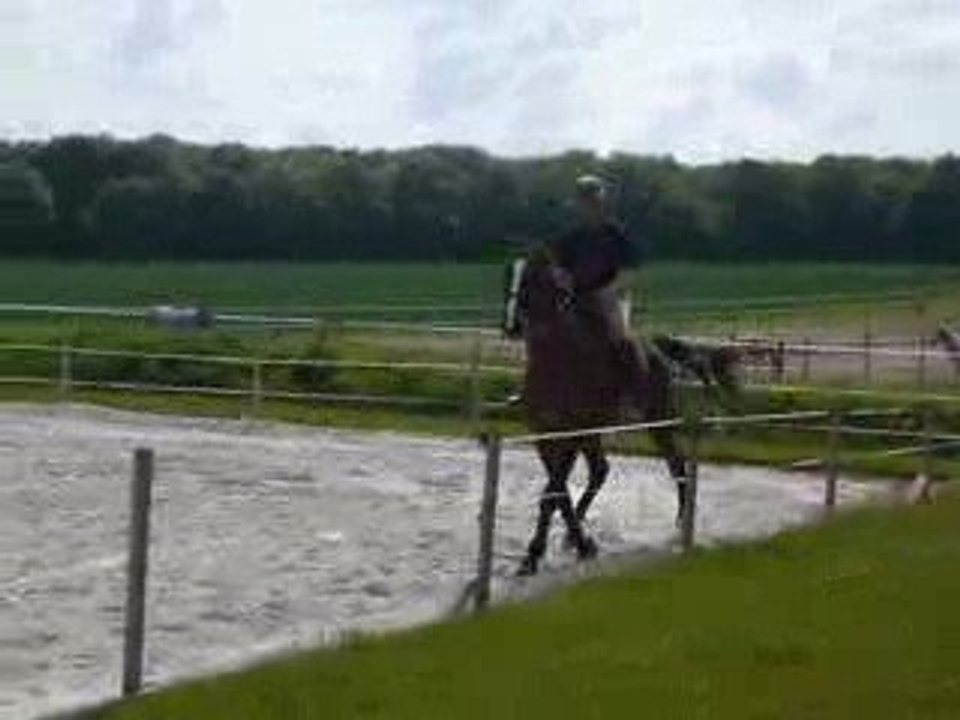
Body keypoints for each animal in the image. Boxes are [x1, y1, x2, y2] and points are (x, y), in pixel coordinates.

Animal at [504, 245, 740, 576]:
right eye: (510, 277)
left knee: (677, 467)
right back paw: (572, 537)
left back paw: (681, 526)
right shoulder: (545, 436)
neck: (555, 364)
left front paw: (541, 553)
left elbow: (552, 493)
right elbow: (558, 492)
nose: (511, 326)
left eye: (531, 280)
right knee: (600, 471)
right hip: (598, 434)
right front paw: (572, 545)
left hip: (657, 422)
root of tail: (654, 345)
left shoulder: (572, 434)